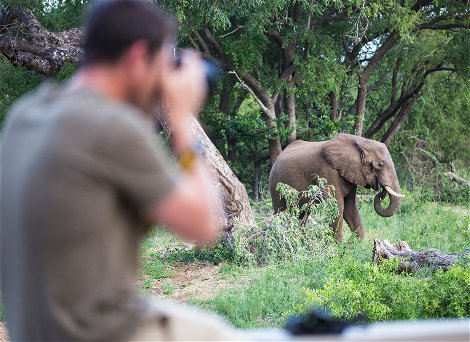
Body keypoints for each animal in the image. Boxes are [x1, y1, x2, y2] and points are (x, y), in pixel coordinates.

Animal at [270, 134, 402, 240]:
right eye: (380, 165)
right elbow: (338, 207)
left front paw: (355, 247)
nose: (381, 193)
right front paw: (338, 248)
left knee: (301, 215)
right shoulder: (329, 172)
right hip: (276, 184)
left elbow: (350, 208)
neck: (360, 142)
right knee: (281, 212)